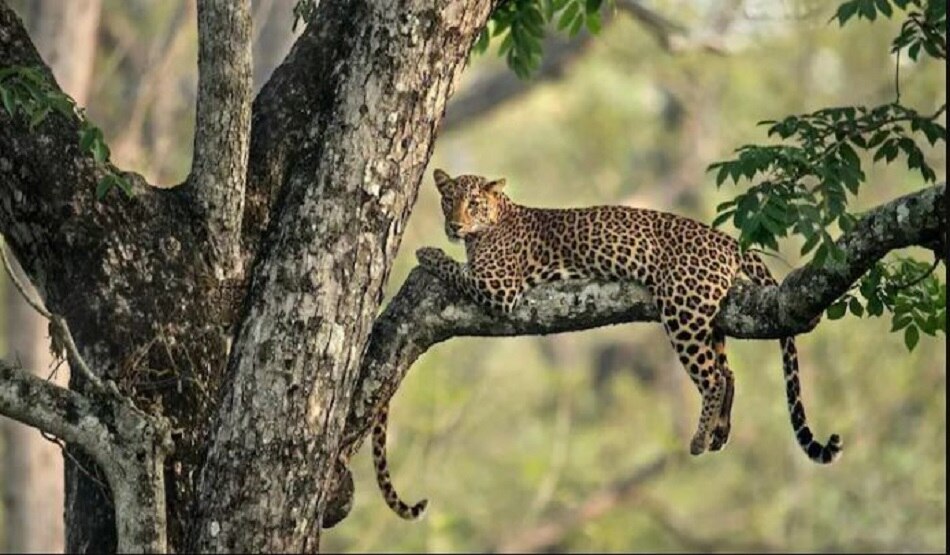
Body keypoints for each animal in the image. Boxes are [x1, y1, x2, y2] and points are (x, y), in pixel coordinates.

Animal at [372, 168, 842, 520]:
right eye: (448, 200)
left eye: (473, 203)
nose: (454, 224)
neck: (494, 221)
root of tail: (725, 239)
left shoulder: (497, 288)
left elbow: (453, 268)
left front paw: (428, 252)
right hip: (708, 319)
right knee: (727, 371)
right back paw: (720, 433)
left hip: (683, 310)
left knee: (711, 377)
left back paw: (697, 438)